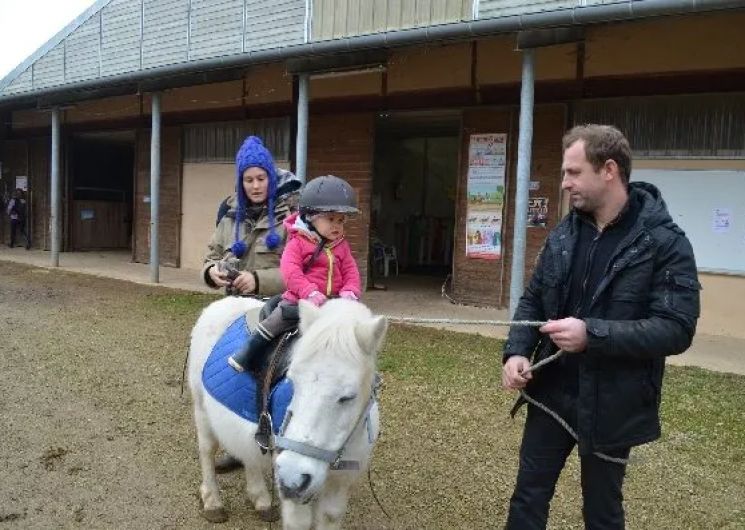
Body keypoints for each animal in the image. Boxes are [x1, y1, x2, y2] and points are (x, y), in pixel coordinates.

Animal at [187, 294, 390, 524]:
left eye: (348, 397)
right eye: (292, 382)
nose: (293, 477)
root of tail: (220, 303)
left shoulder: (339, 487)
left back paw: (261, 500)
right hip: (201, 409)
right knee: (207, 450)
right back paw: (213, 502)